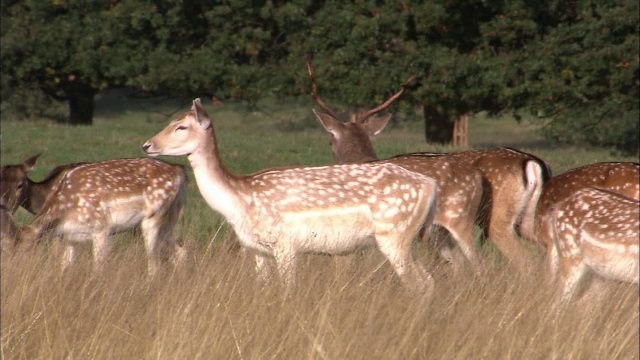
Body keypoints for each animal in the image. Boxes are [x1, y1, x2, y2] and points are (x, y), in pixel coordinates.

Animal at [142, 98, 438, 292]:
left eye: (181, 127)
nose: (147, 144)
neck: (240, 200)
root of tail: (430, 187)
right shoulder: (257, 250)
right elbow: (262, 288)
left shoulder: (286, 244)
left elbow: (287, 292)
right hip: (406, 239)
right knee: (429, 281)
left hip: (394, 235)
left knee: (419, 284)